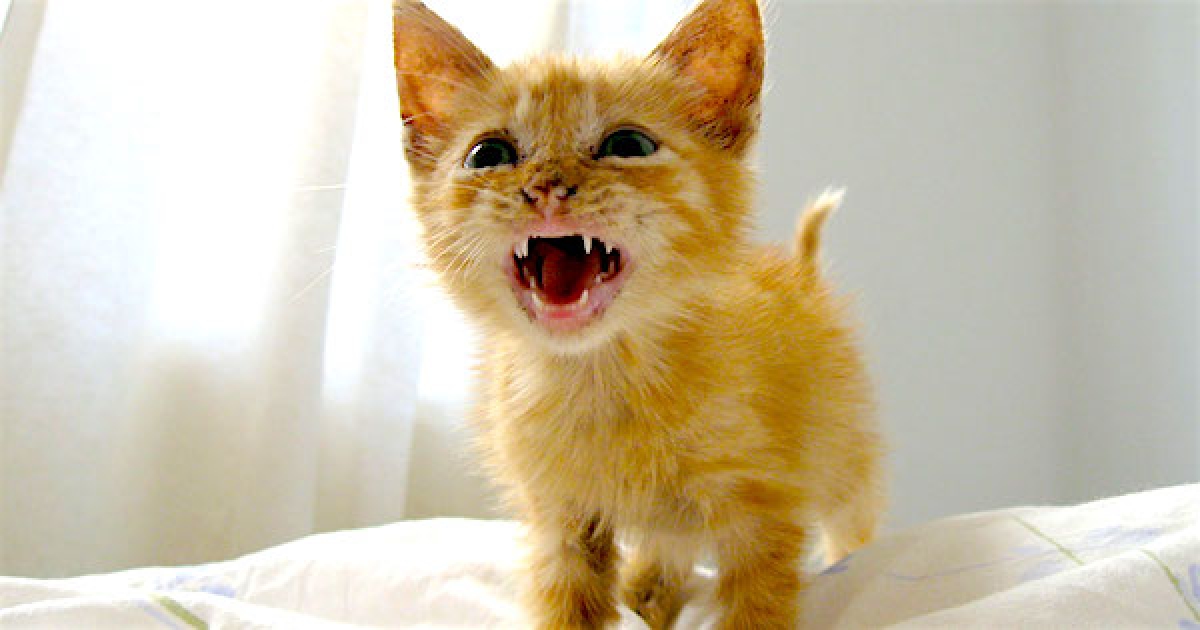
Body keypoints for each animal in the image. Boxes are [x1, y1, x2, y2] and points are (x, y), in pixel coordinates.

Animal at [392, 0, 885, 628]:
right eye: (489, 155)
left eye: (627, 144)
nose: (546, 189)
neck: (600, 373)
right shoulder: (560, 520)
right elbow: (568, 603)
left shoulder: (762, 513)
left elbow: (757, 607)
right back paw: (650, 591)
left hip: (847, 454)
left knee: (853, 523)